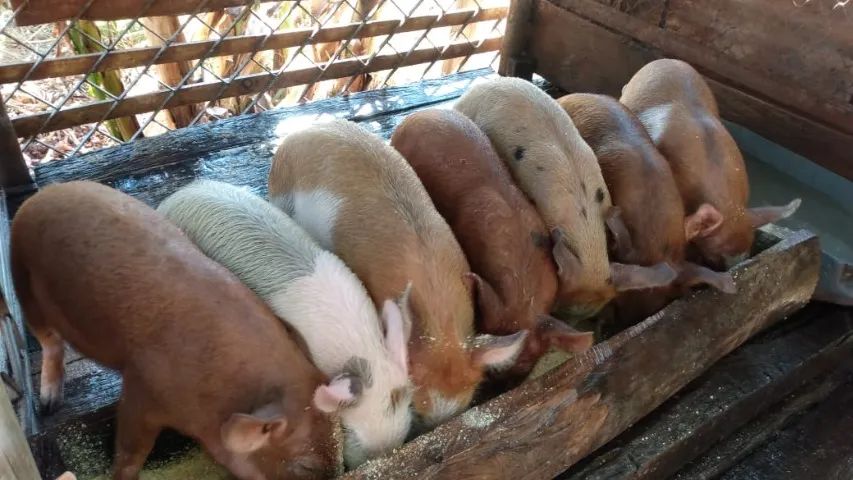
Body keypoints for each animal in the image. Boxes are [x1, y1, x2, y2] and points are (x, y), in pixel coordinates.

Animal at [11, 181, 339, 480]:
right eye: (304, 465)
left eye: (336, 442)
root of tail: (46, 193)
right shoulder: (141, 389)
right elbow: (131, 452)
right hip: (22, 278)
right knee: (48, 339)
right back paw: (49, 404)